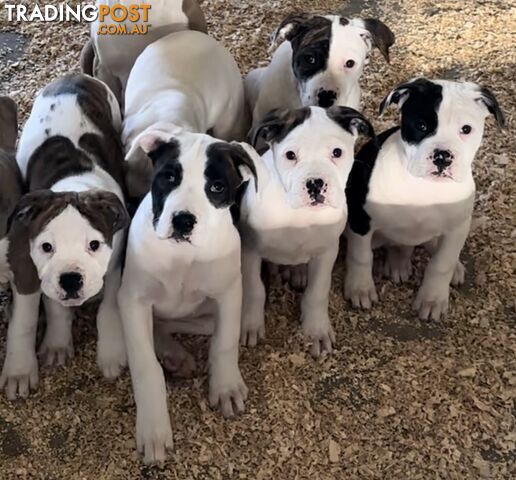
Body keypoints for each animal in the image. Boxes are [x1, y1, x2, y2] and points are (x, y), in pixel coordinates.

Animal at [0, 73, 129, 402]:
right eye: (47, 247)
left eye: (94, 245)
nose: (71, 279)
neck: (75, 183)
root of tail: (73, 76)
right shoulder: (40, 273)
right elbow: (56, 307)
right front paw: (57, 343)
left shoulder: (115, 265)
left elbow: (109, 305)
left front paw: (111, 353)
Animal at [116, 129, 255, 464]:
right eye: (169, 177)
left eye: (217, 187)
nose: (182, 221)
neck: (181, 257)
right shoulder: (133, 300)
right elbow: (145, 364)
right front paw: (153, 429)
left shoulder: (229, 294)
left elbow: (225, 343)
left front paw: (226, 386)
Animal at [238, 107, 374, 358]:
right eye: (290, 155)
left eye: (337, 152)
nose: (315, 183)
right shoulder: (249, 251)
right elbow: (254, 289)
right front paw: (249, 324)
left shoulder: (327, 251)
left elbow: (317, 291)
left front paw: (316, 330)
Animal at [344, 77, 506, 320]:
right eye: (421, 126)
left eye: (466, 129)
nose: (442, 156)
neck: (424, 186)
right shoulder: (361, 220)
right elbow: (360, 256)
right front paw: (359, 289)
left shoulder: (457, 229)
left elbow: (441, 263)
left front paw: (433, 298)